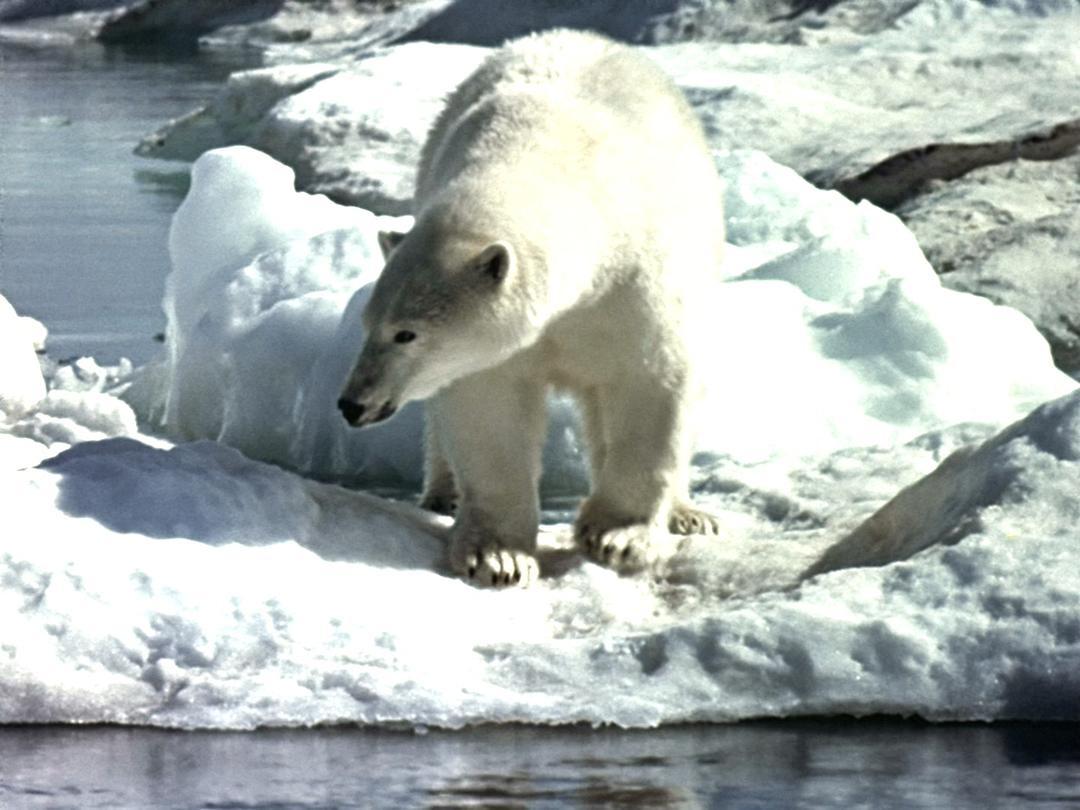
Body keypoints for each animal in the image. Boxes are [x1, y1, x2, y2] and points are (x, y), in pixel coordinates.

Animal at [339, 30, 725, 591]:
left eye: (406, 333)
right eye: (369, 325)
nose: (353, 403)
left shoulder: (636, 282)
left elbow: (651, 380)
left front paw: (620, 537)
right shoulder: (494, 352)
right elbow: (488, 407)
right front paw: (498, 556)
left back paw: (687, 514)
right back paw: (444, 493)